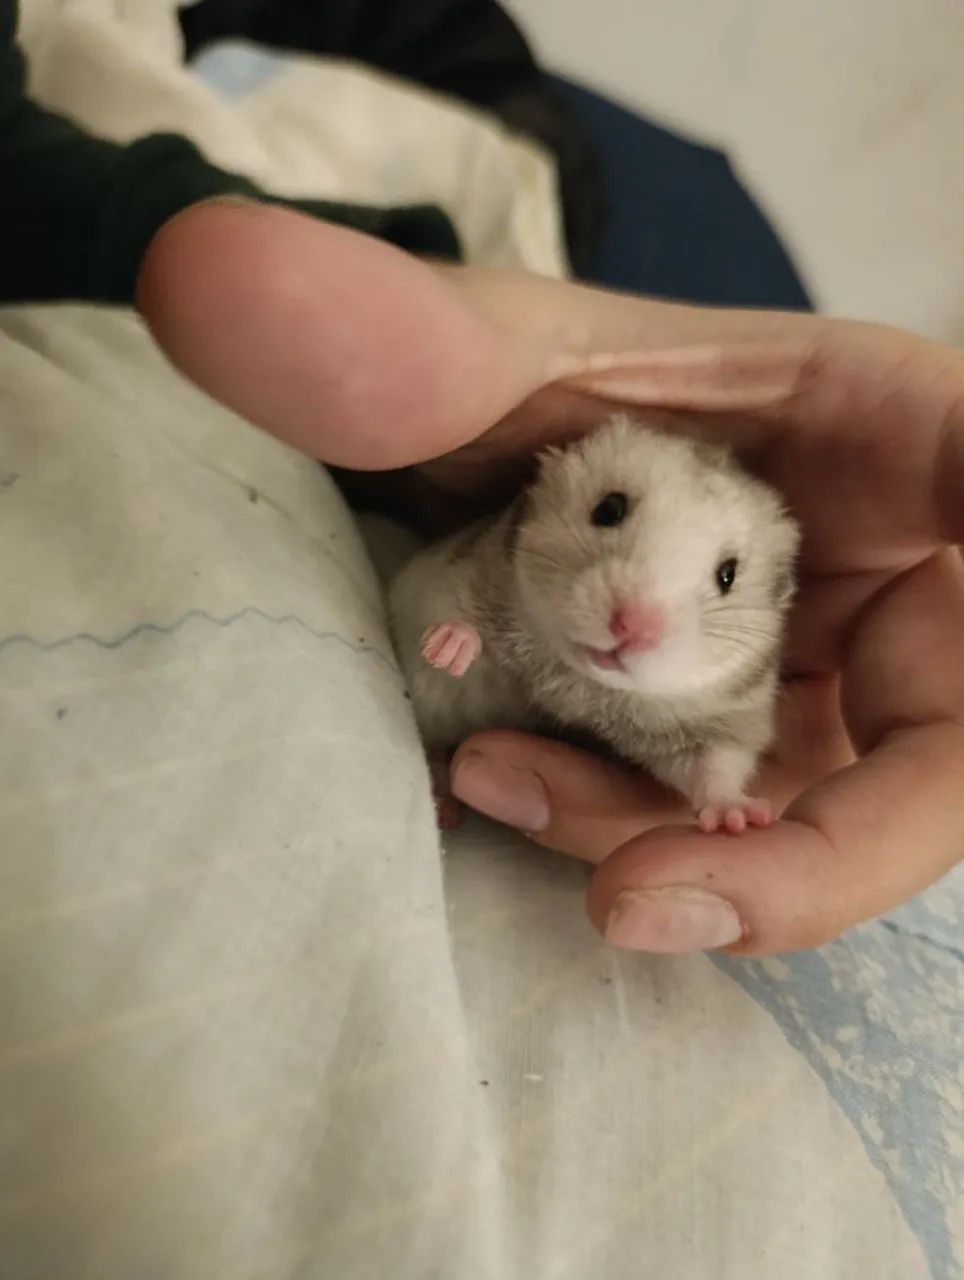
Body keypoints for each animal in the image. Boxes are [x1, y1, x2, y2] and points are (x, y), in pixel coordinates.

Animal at [389, 414, 800, 834]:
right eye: (609, 508)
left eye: (727, 575)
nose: (631, 627)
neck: (579, 682)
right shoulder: (455, 574)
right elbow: (458, 614)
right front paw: (446, 649)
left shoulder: (719, 718)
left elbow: (715, 764)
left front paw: (739, 820)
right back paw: (443, 808)